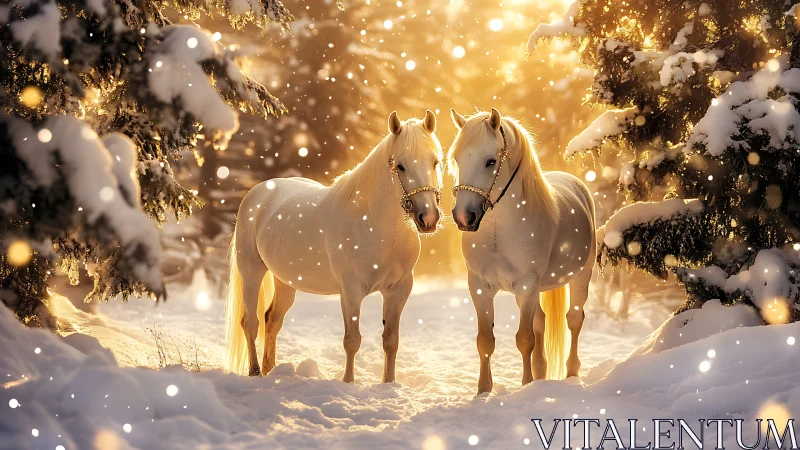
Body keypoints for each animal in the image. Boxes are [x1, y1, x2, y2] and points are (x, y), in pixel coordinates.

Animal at [225, 110, 444, 383]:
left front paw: (388, 384)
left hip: (285, 282)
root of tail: (258, 192)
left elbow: (391, 341)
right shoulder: (351, 291)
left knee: (272, 320)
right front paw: (348, 383)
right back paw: (255, 372)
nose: (428, 218)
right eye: (400, 166)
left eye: (435, 162)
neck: (377, 226)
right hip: (252, 273)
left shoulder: (399, 289)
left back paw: (270, 369)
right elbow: (352, 341)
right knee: (251, 323)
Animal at [448, 108, 596, 394]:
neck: (498, 231)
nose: (463, 217)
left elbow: (524, 339)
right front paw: (483, 390)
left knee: (574, 319)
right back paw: (541, 373)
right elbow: (485, 340)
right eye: (457, 159)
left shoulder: (526, 285)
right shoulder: (480, 286)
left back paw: (571, 371)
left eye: (490, 161)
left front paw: (526, 384)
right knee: (541, 321)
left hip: (581, 276)